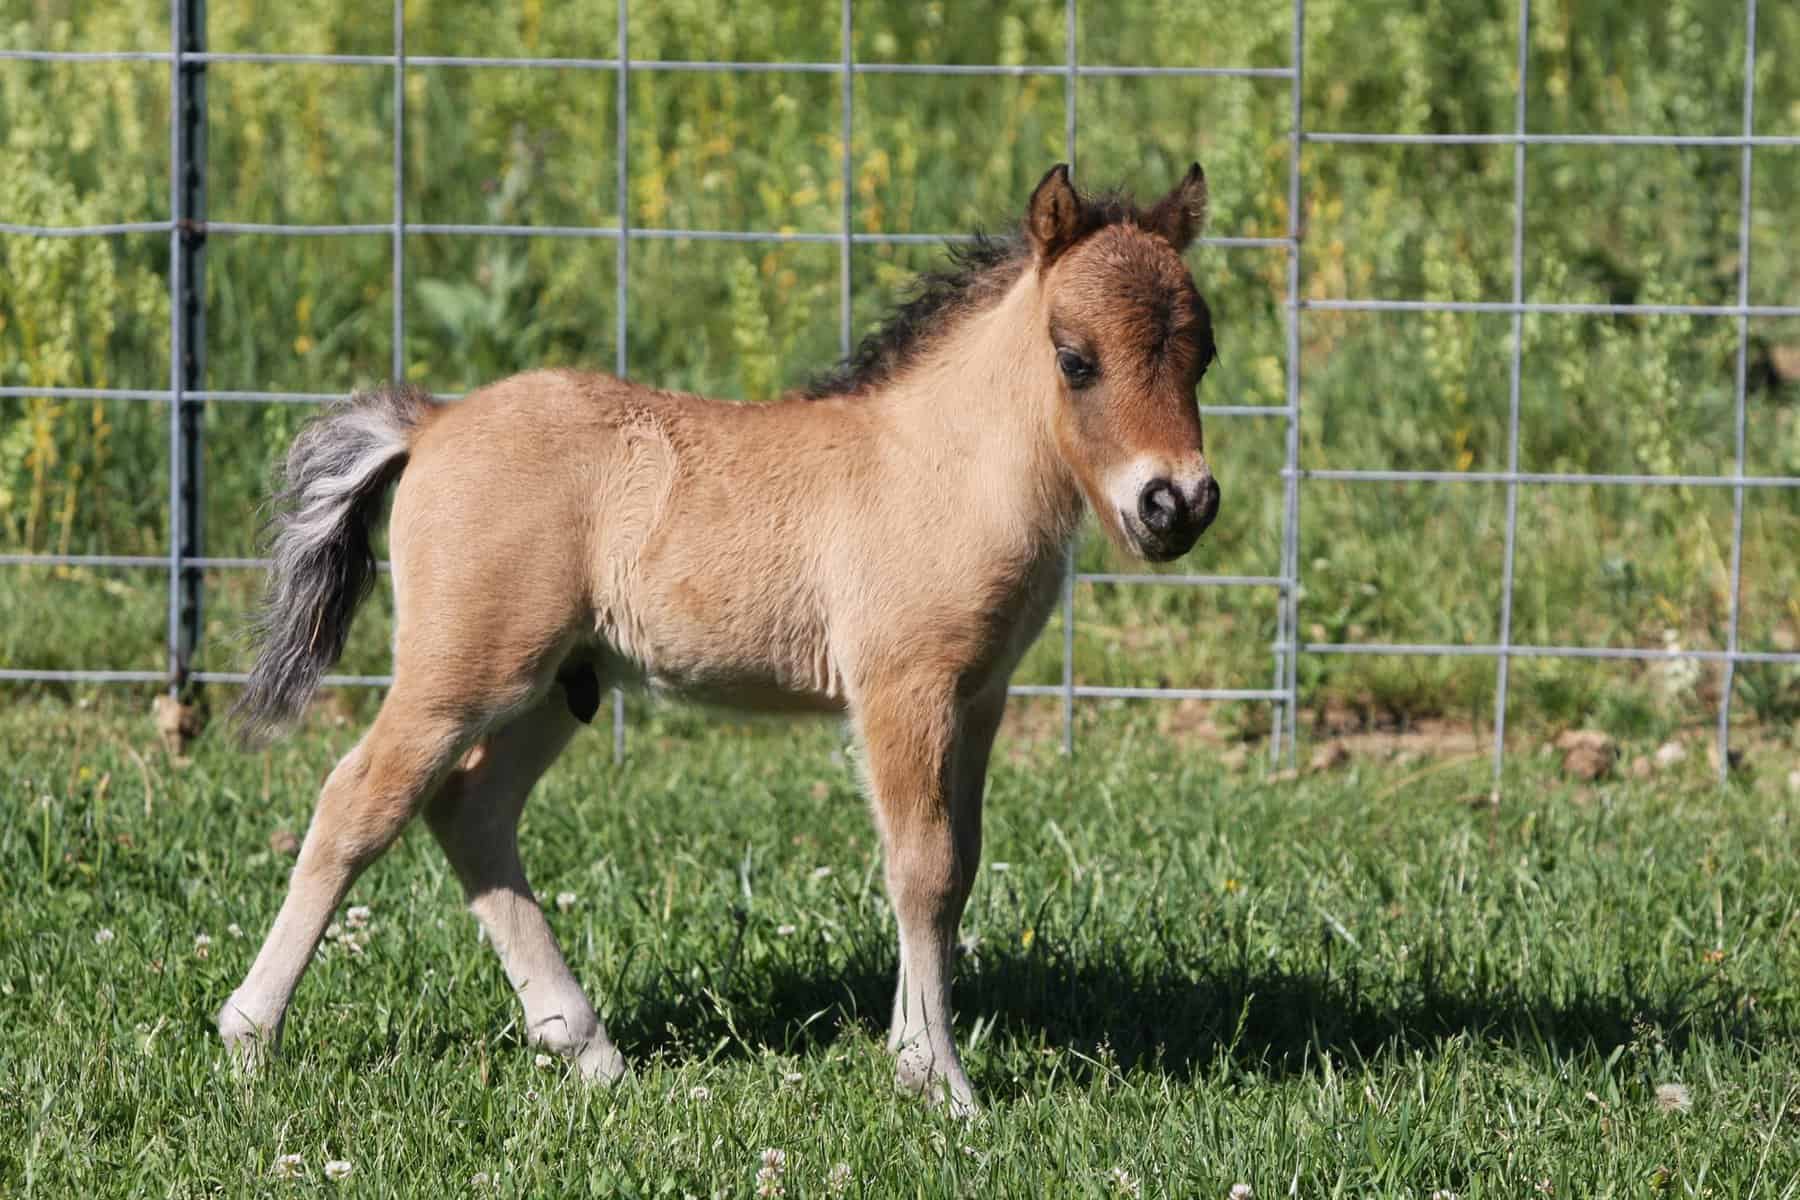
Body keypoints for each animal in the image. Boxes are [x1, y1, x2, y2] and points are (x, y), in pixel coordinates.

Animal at [219, 162, 1221, 1115]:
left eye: (1204, 354)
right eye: (1075, 359)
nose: (1175, 504)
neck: (942, 468)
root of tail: (432, 424)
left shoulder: (980, 697)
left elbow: (959, 866)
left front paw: (916, 1058)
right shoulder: (903, 689)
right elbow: (923, 870)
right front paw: (940, 1082)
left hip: (558, 684)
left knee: (470, 810)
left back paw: (590, 1052)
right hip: (465, 670)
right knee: (360, 802)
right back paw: (250, 1038)